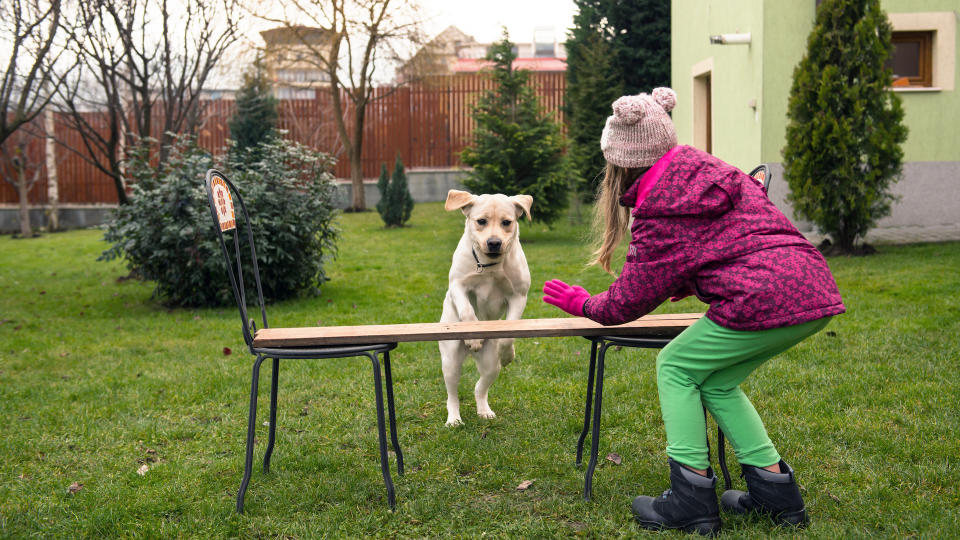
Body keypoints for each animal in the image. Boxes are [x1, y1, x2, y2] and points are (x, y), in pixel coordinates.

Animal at [440, 190, 532, 426]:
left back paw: (484, 411)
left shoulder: (519, 295)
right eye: (481, 221)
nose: (494, 242)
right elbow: (466, 310)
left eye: (506, 222)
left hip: (491, 364)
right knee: (452, 393)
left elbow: (510, 331)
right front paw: (473, 337)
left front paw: (508, 353)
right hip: (451, 359)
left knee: (479, 387)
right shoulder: (458, 285)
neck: (489, 266)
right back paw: (453, 419)